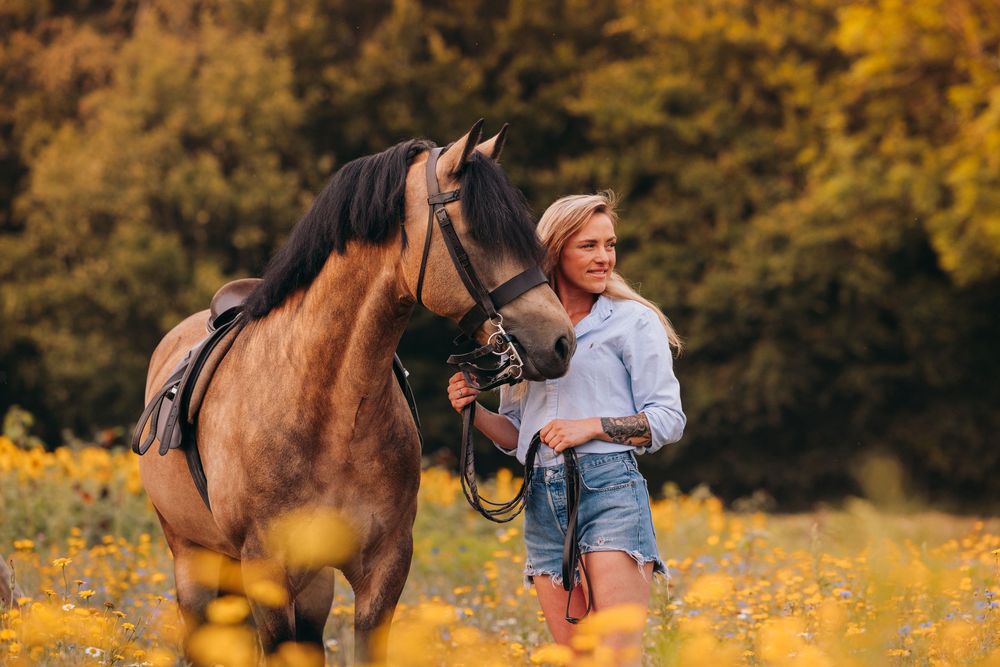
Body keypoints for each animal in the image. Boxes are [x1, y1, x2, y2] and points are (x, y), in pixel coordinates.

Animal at [137, 121, 575, 663]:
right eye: (477, 235)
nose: (560, 341)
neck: (331, 410)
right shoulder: (265, 566)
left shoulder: (383, 568)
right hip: (192, 559)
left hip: (311, 584)